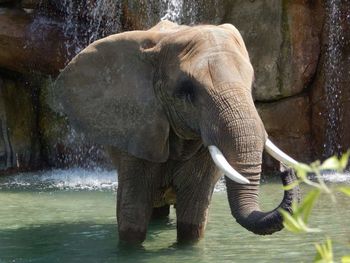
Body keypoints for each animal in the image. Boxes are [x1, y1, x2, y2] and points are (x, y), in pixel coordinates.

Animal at [54, 20, 300, 245]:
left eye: (252, 83)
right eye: (187, 91)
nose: (285, 170)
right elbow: (132, 215)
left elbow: (193, 216)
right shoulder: (137, 129)